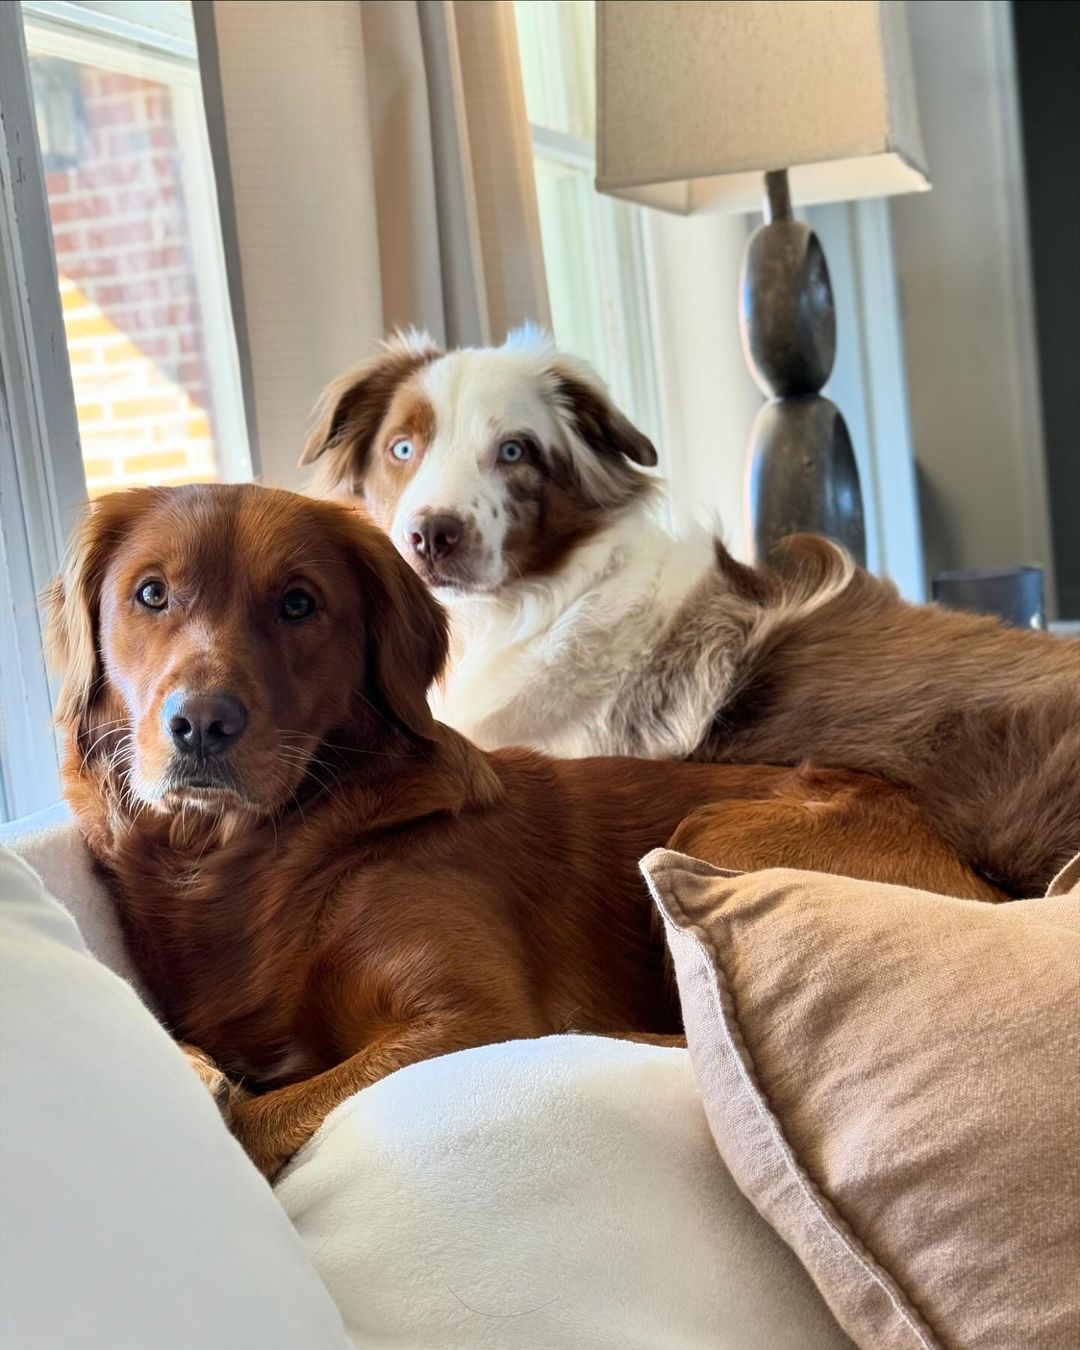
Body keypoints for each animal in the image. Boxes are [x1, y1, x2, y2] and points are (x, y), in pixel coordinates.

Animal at [48, 486, 993, 1171]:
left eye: (298, 604)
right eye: (150, 594)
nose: (200, 725)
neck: (244, 856)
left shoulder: (480, 1018)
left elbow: (255, 1118)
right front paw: (197, 1067)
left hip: (718, 829)